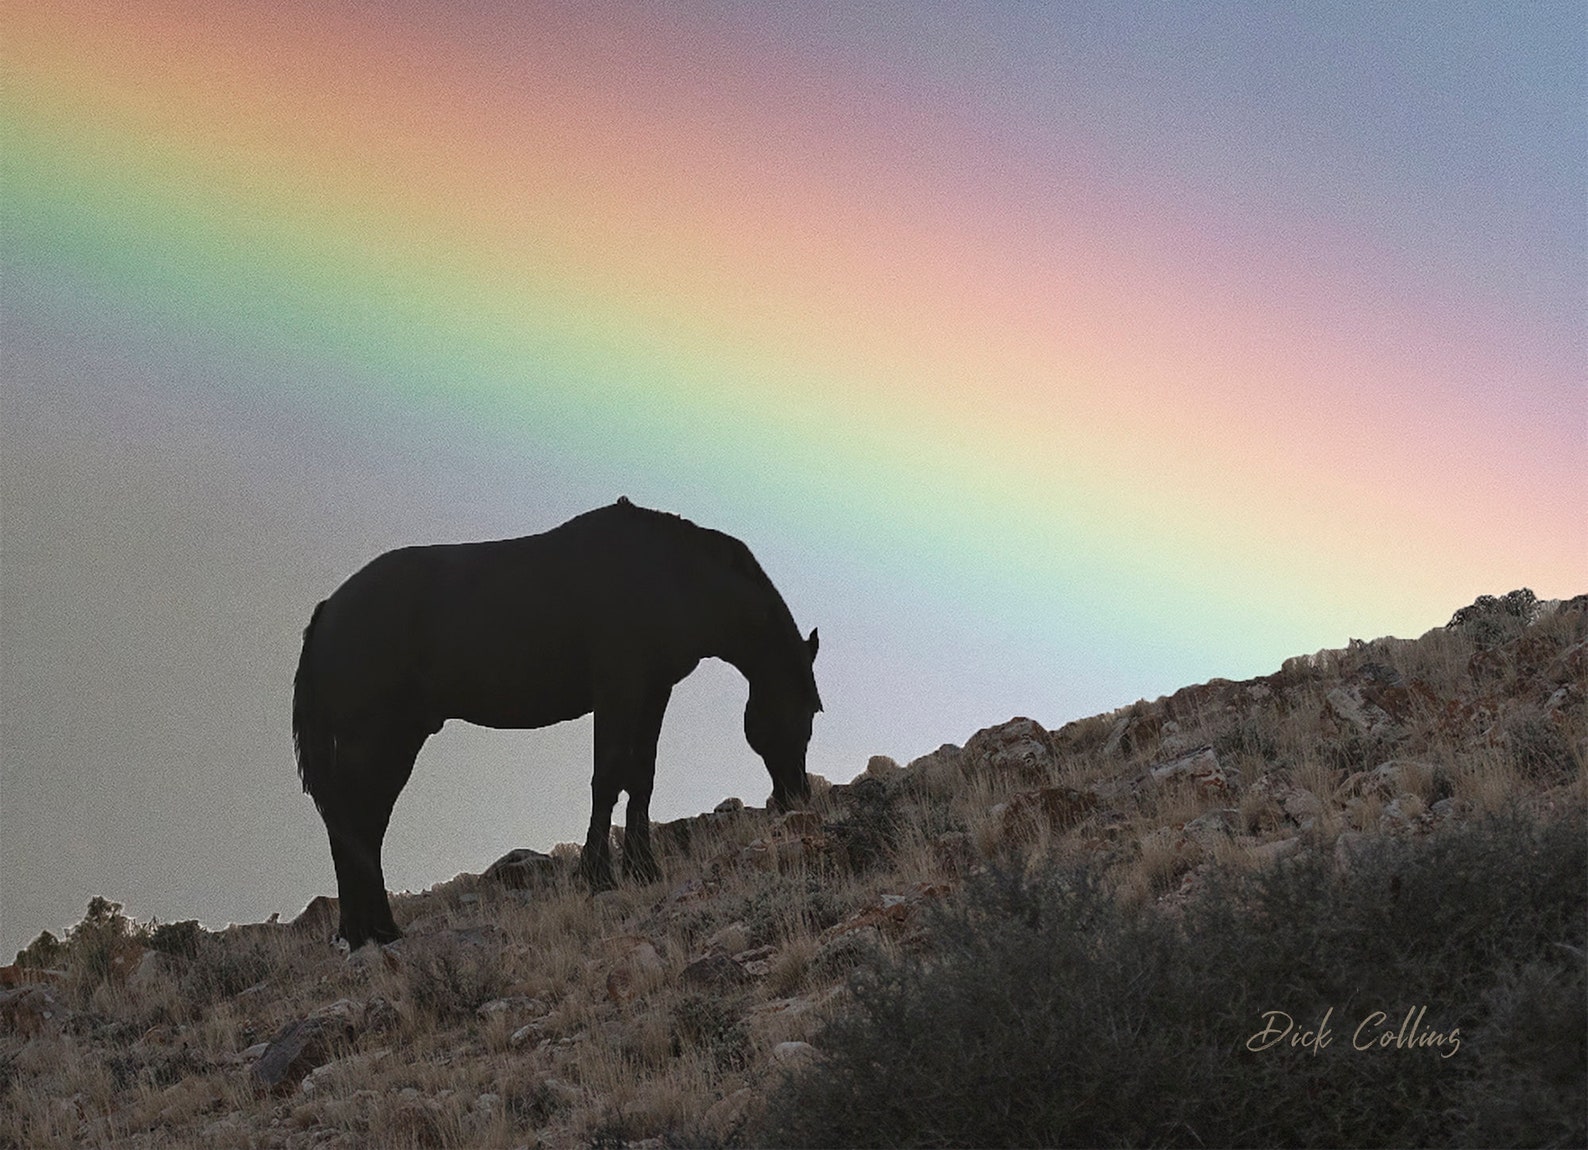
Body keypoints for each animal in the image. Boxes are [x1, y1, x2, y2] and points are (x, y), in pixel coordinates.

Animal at [291, 498, 821, 949]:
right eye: (810, 710)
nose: (796, 796)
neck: (668, 575)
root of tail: (328, 611)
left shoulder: (652, 694)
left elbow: (641, 778)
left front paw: (643, 869)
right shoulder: (617, 694)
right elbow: (607, 778)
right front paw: (598, 875)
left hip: (394, 741)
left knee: (363, 824)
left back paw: (368, 930)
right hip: (376, 741)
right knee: (358, 823)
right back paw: (374, 929)